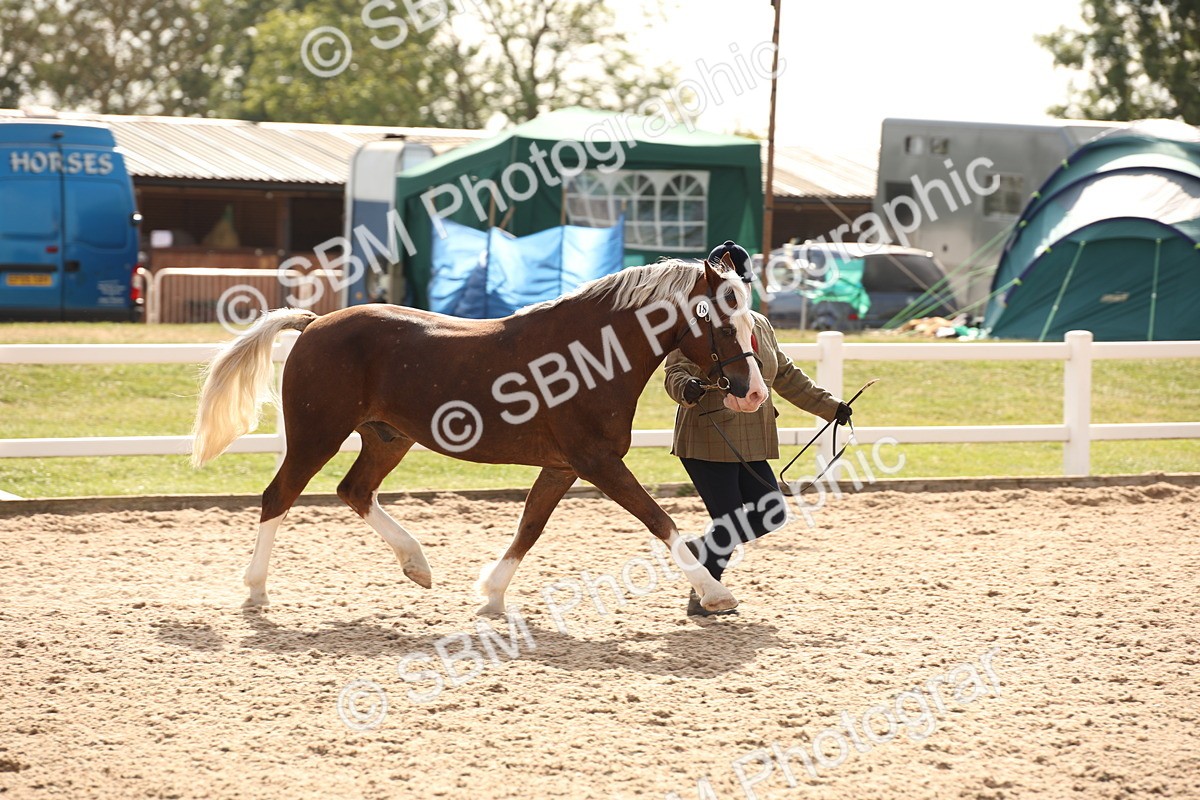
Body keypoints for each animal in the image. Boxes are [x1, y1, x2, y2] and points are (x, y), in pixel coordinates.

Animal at [191, 259, 768, 615]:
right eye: (723, 323)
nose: (754, 393)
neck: (591, 355)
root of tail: (313, 324)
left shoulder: (564, 466)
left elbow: (530, 527)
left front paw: (490, 596)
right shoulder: (597, 462)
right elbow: (659, 521)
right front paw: (716, 594)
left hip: (387, 438)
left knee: (353, 491)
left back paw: (417, 566)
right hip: (317, 436)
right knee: (278, 496)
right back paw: (256, 592)